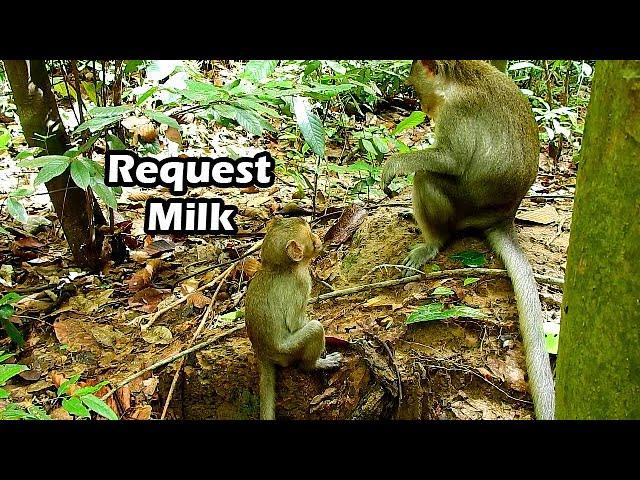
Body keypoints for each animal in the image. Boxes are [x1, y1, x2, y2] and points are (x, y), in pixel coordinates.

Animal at [245, 216, 342, 418]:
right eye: (311, 237)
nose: (318, 238)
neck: (277, 267)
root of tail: (262, 352)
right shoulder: (302, 280)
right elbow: (295, 322)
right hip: (287, 352)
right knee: (314, 329)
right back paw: (315, 365)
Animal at [380, 61, 556, 420]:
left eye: (416, 89)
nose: (425, 109)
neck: (456, 78)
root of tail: (503, 217)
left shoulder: (457, 111)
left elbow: (451, 160)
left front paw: (394, 164)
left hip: (464, 208)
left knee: (428, 177)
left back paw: (433, 240)